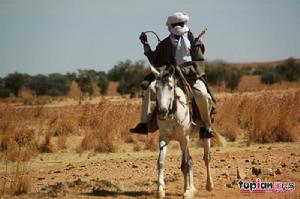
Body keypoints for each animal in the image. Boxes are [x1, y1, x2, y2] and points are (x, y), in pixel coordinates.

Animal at [150, 64, 216, 198]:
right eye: (156, 88)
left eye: (170, 87)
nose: (162, 111)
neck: (173, 114)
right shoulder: (164, 139)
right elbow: (161, 162)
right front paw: (160, 191)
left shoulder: (184, 139)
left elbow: (186, 164)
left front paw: (188, 192)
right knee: (189, 161)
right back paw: (189, 187)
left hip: (204, 134)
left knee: (206, 158)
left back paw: (209, 185)